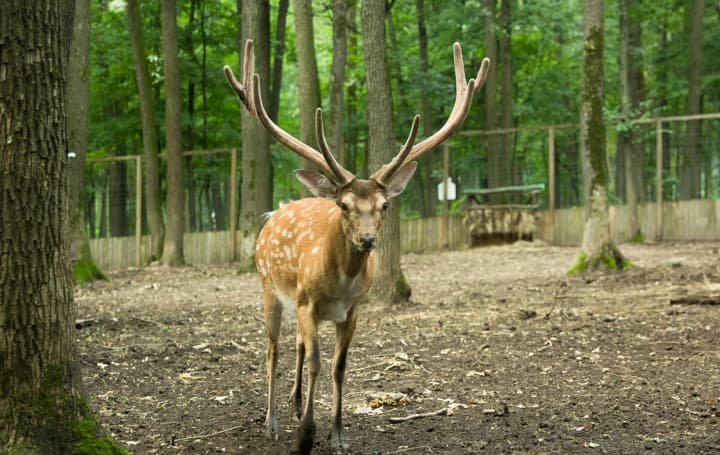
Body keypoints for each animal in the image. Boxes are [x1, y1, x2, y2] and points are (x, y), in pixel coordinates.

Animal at [224, 39, 489, 454]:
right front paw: (306, 436)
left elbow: (338, 365)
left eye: (385, 205)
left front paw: (337, 433)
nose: (368, 240)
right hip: (269, 286)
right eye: (344, 205)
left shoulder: (352, 310)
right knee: (272, 349)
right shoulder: (306, 301)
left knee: (297, 345)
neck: (340, 283)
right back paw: (272, 422)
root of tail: (275, 213)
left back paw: (294, 406)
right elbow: (316, 362)